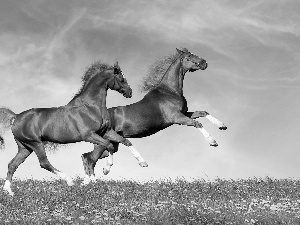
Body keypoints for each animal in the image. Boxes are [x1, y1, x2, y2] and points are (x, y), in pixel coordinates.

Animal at [0, 60, 145, 194]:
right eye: (121, 78)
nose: (130, 92)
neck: (90, 106)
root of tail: (16, 116)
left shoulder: (105, 132)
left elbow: (125, 141)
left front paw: (143, 163)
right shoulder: (89, 135)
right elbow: (109, 145)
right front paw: (106, 170)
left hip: (25, 147)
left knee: (12, 164)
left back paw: (9, 192)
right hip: (35, 143)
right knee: (43, 163)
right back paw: (69, 181)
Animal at [81, 48, 226, 183]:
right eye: (189, 56)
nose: (204, 63)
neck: (169, 91)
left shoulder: (184, 113)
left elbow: (203, 113)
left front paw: (222, 125)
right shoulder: (177, 118)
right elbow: (197, 123)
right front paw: (213, 142)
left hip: (112, 144)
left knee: (87, 157)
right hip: (103, 143)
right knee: (90, 159)